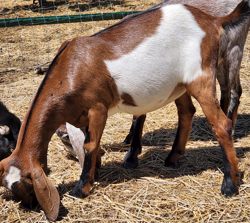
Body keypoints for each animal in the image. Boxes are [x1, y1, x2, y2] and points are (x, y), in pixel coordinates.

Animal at [0, 1, 250, 221]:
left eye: (26, 185)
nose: (29, 207)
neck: (69, 71)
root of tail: (213, 20)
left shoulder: (98, 108)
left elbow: (90, 144)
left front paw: (81, 188)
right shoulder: (80, 116)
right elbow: (88, 145)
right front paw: (93, 173)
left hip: (201, 77)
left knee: (221, 123)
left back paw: (230, 184)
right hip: (179, 85)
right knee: (186, 111)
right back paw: (173, 158)